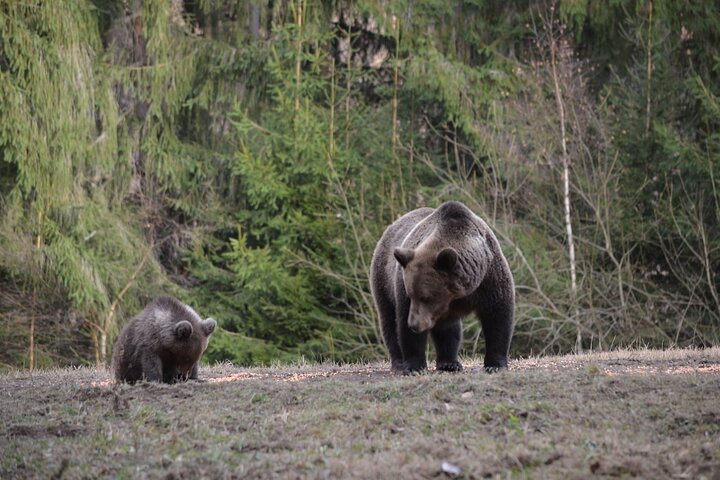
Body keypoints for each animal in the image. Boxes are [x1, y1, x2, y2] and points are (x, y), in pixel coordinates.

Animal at [370, 201, 514, 373]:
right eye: (412, 295)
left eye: (426, 297)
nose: (414, 324)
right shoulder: (402, 287)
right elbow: (404, 324)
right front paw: (413, 365)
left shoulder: (489, 277)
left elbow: (497, 316)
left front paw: (495, 364)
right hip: (383, 280)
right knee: (389, 321)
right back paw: (399, 362)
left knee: (447, 330)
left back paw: (449, 363)